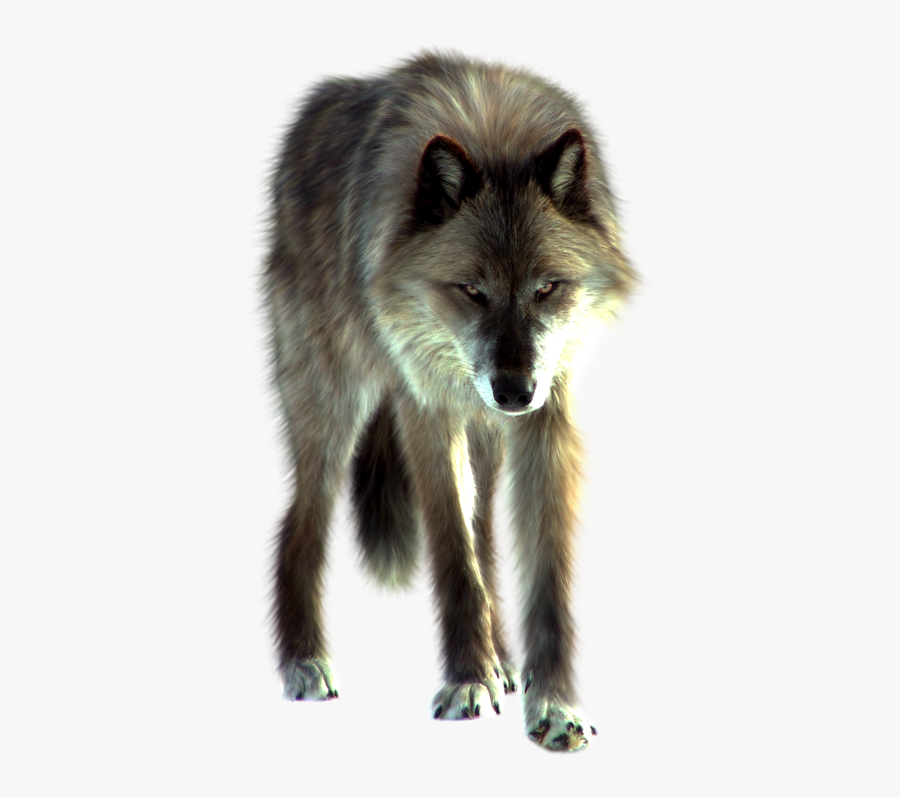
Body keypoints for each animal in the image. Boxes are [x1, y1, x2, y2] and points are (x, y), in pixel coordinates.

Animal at [264, 52, 635, 752]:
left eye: (547, 288)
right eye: (472, 290)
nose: (513, 391)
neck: (494, 133)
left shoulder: (548, 420)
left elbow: (541, 574)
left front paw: (554, 705)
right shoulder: (427, 413)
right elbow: (453, 556)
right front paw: (467, 681)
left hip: (486, 440)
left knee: (486, 533)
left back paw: (503, 661)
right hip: (333, 409)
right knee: (299, 525)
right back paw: (305, 663)